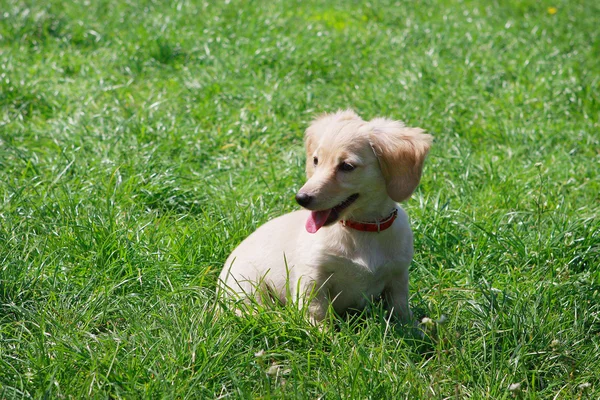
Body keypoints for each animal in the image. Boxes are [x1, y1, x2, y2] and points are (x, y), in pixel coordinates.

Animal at [219, 109, 432, 322]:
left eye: (347, 166)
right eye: (316, 161)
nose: (301, 198)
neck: (361, 229)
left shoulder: (398, 275)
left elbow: (400, 310)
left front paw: (414, 328)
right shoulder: (312, 277)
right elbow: (317, 312)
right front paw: (321, 330)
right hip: (247, 288)